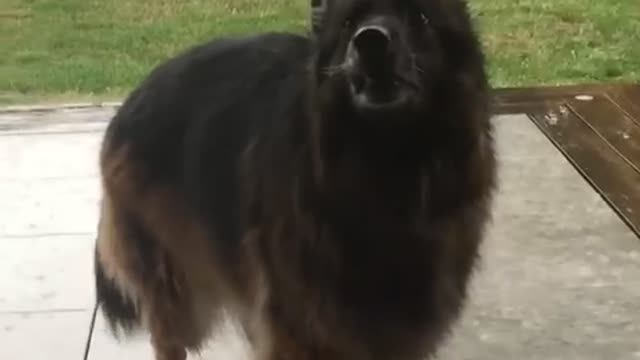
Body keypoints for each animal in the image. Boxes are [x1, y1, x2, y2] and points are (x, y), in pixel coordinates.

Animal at [92, 0, 498, 360]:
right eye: (349, 23)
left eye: (420, 16)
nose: (370, 42)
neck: (386, 171)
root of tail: (131, 100)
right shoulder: (304, 327)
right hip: (181, 294)